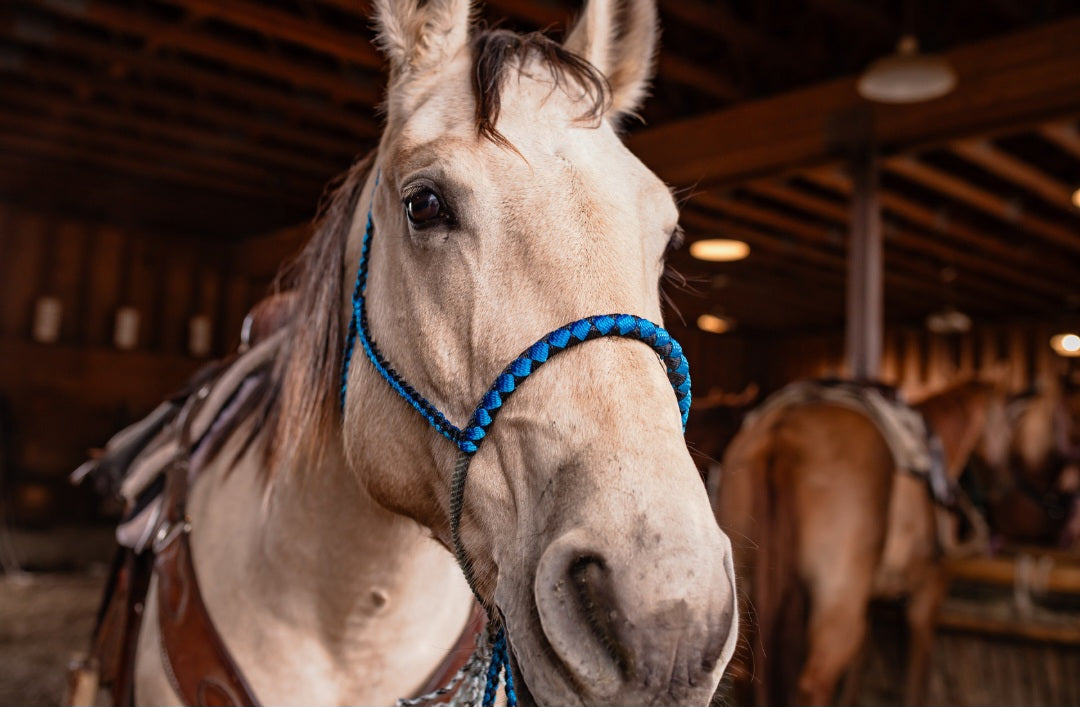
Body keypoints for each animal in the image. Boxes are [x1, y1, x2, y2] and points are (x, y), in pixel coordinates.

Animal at [712, 382, 1006, 707]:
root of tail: (783, 429)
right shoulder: (927, 594)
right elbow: (917, 674)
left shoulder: (871, 599)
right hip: (839, 602)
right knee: (815, 683)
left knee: (744, 673)